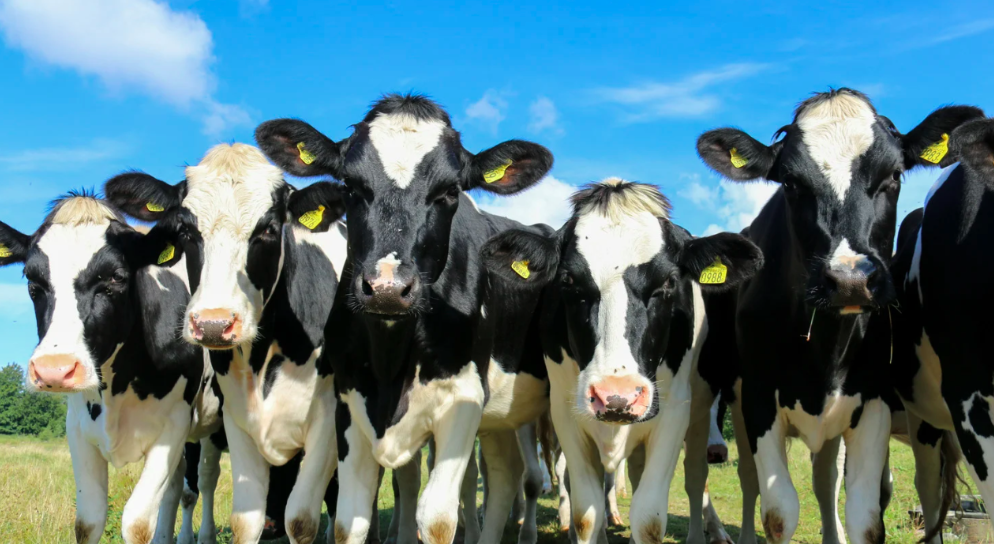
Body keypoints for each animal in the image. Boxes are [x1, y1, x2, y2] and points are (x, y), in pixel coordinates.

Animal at [0, 194, 222, 544]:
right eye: (33, 282)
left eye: (116, 276)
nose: (53, 370)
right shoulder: (77, 426)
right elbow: (88, 521)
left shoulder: (175, 424)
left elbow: (137, 522)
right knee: (176, 489)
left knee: (204, 480)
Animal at [103, 143, 348, 544]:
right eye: (186, 230)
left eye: (268, 229)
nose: (214, 324)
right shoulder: (237, 420)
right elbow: (244, 520)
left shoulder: (327, 421)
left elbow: (302, 519)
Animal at [254, 93, 554, 544]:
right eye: (351, 186)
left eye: (450, 191)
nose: (387, 288)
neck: (390, 362)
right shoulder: (348, 401)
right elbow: (349, 521)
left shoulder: (464, 397)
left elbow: (439, 519)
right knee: (505, 475)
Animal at [479, 178, 764, 544]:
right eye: (567, 281)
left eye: (669, 281)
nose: (616, 396)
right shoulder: (565, 413)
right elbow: (586, 514)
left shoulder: (674, 412)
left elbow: (649, 517)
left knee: (694, 475)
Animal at [694, 88, 983, 544]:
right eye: (790, 183)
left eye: (894, 176)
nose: (849, 280)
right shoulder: (758, 399)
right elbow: (778, 511)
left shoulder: (872, 401)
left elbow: (864, 515)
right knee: (749, 480)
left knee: (827, 479)